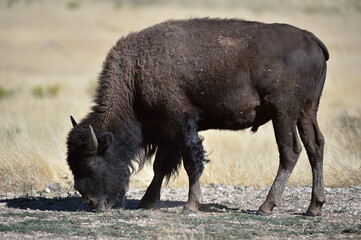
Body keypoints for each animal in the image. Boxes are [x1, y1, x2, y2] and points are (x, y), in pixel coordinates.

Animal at [66, 17, 328, 215]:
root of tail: (312, 40)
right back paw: (314, 207)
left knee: (290, 151)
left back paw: (266, 207)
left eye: (91, 163)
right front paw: (147, 202)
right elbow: (161, 165)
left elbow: (191, 162)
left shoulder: (181, 125)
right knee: (315, 146)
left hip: (283, 113)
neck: (136, 76)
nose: (90, 202)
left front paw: (190, 205)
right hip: (307, 111)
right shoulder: (167, 132)